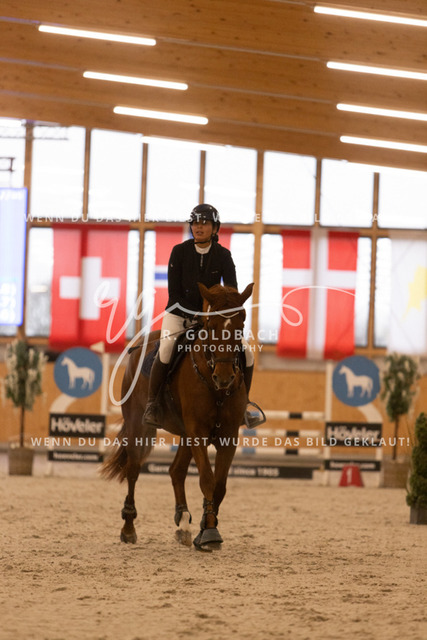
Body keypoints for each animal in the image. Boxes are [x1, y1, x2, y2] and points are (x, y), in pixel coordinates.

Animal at [101, 282, 254, 551]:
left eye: (241, 324)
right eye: (211, 326)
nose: (224, 377)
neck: (216, 388)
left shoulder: (227, 436)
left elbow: (219, 486)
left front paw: (206, 526)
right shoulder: (198, 432)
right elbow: (207, 479)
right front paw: (210, 532)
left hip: (185, 434)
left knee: (176, 471)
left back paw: (183, 523)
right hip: (138, 426)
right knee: (133, 469)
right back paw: (128, 528)